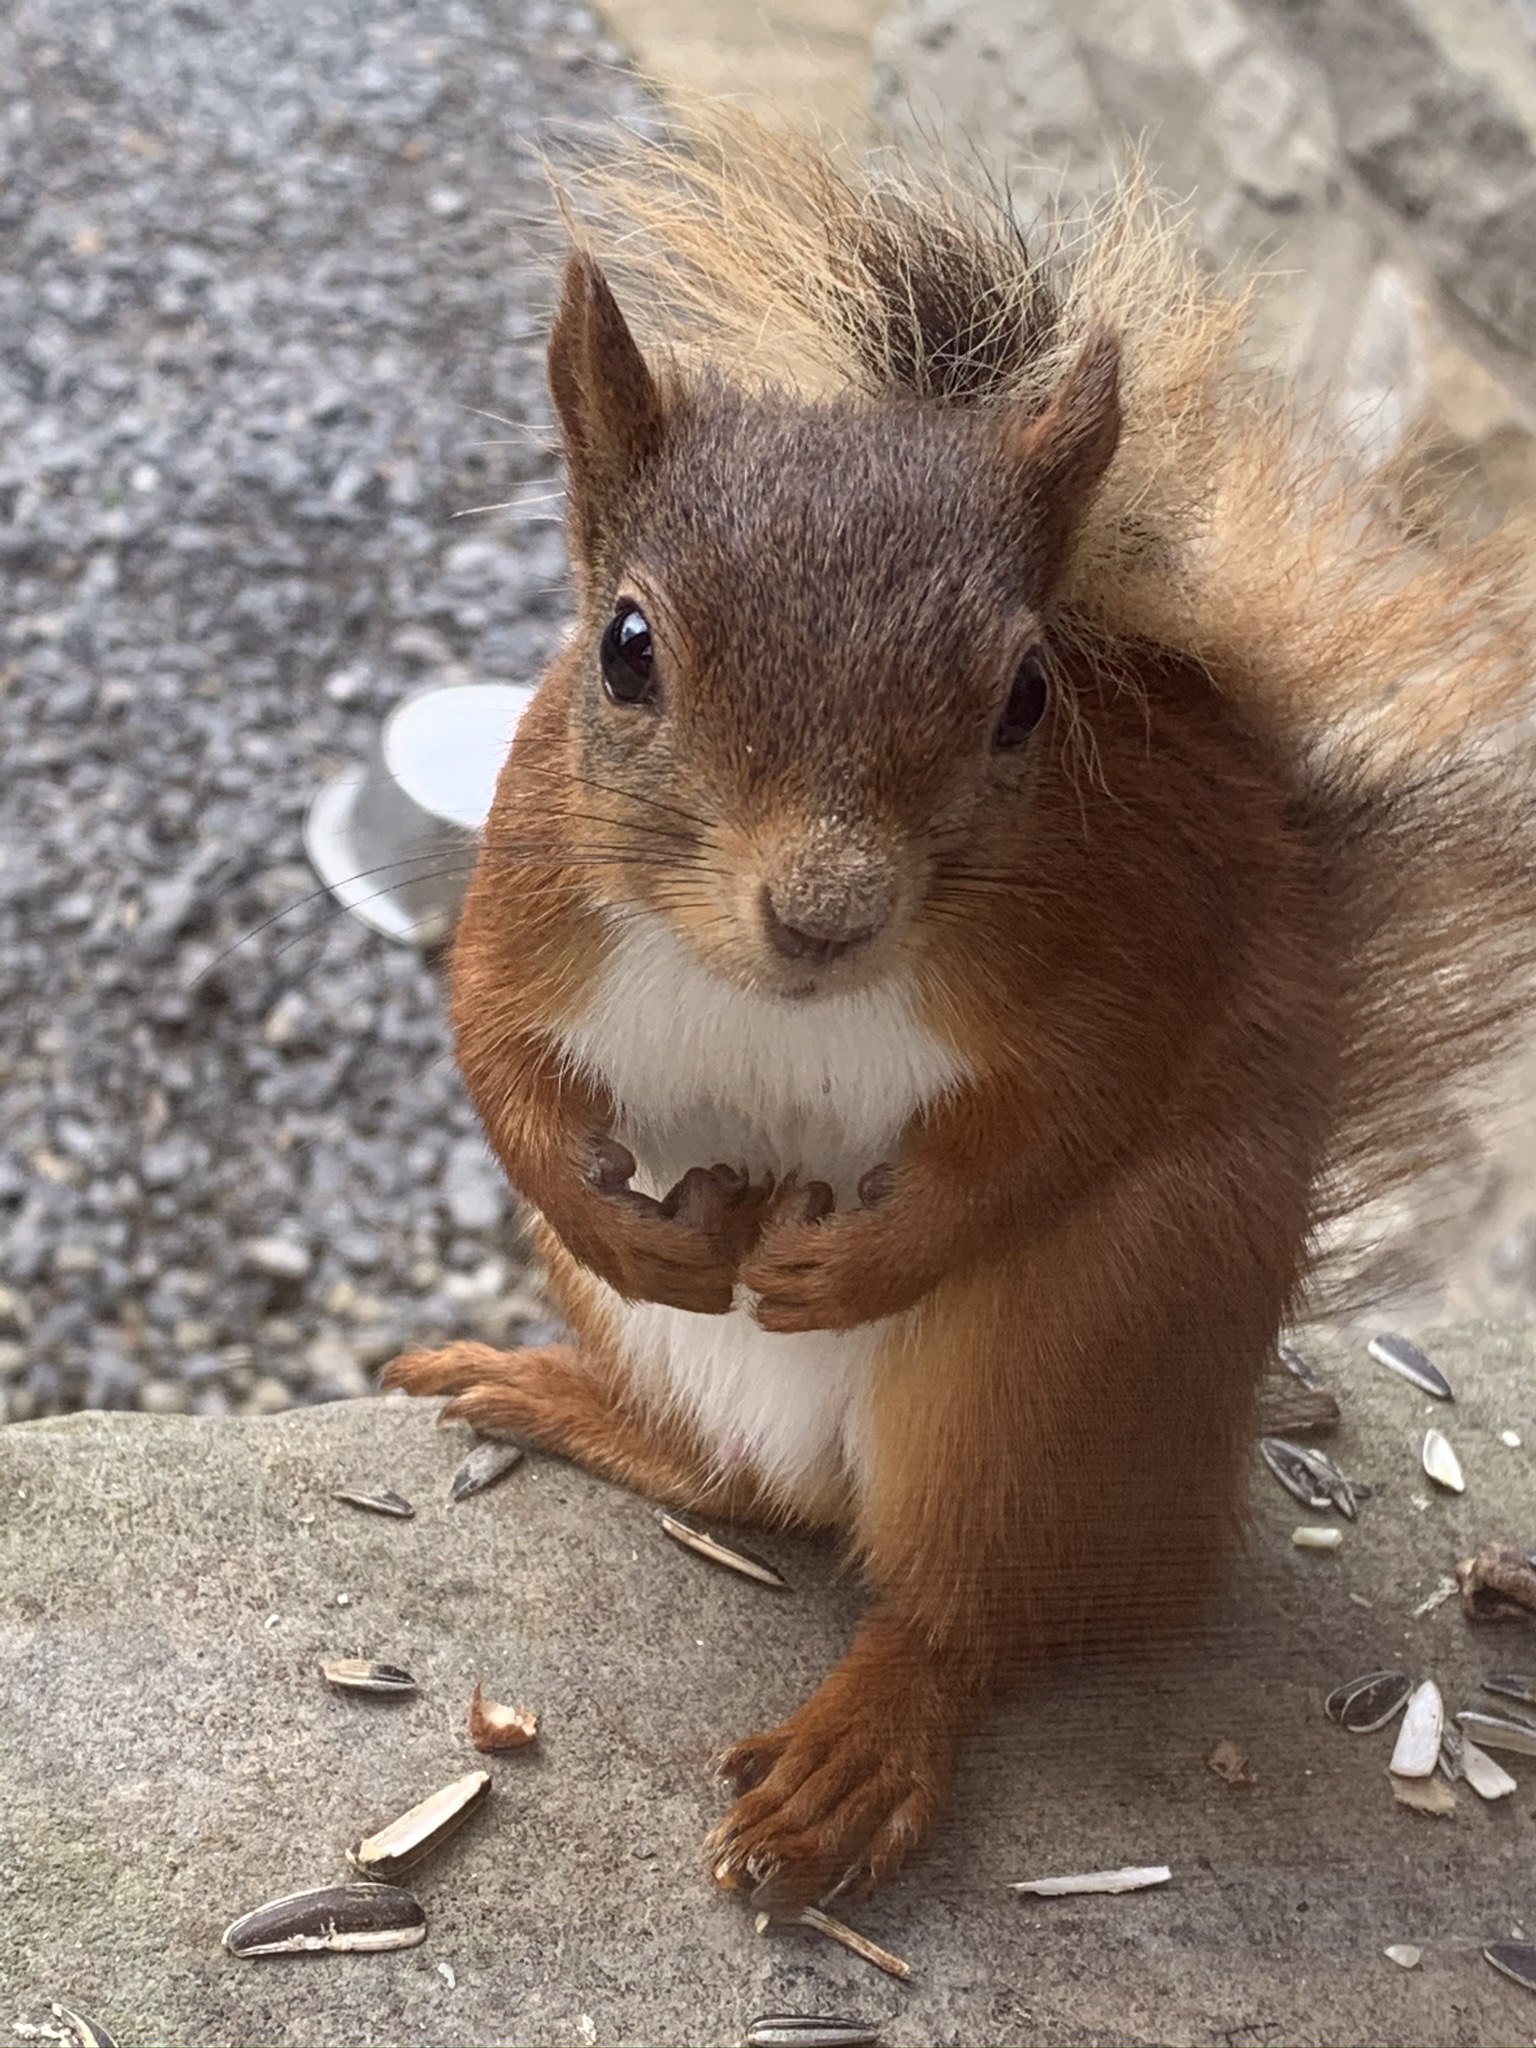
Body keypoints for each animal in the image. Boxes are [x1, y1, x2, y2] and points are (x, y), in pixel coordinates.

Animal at [387, 112, 1536, 1900]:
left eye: (1027, 698)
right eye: (624, 646)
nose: (826, 914)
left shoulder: (1125, 953)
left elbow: (1070, 1116)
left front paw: (856, 1259)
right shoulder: (530, 895)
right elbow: (494, 1052)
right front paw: (610, 1210)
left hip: (1068, 1358)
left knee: (971, 1610)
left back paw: (862, 1746)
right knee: (747, 1488)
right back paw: (563, 1389)